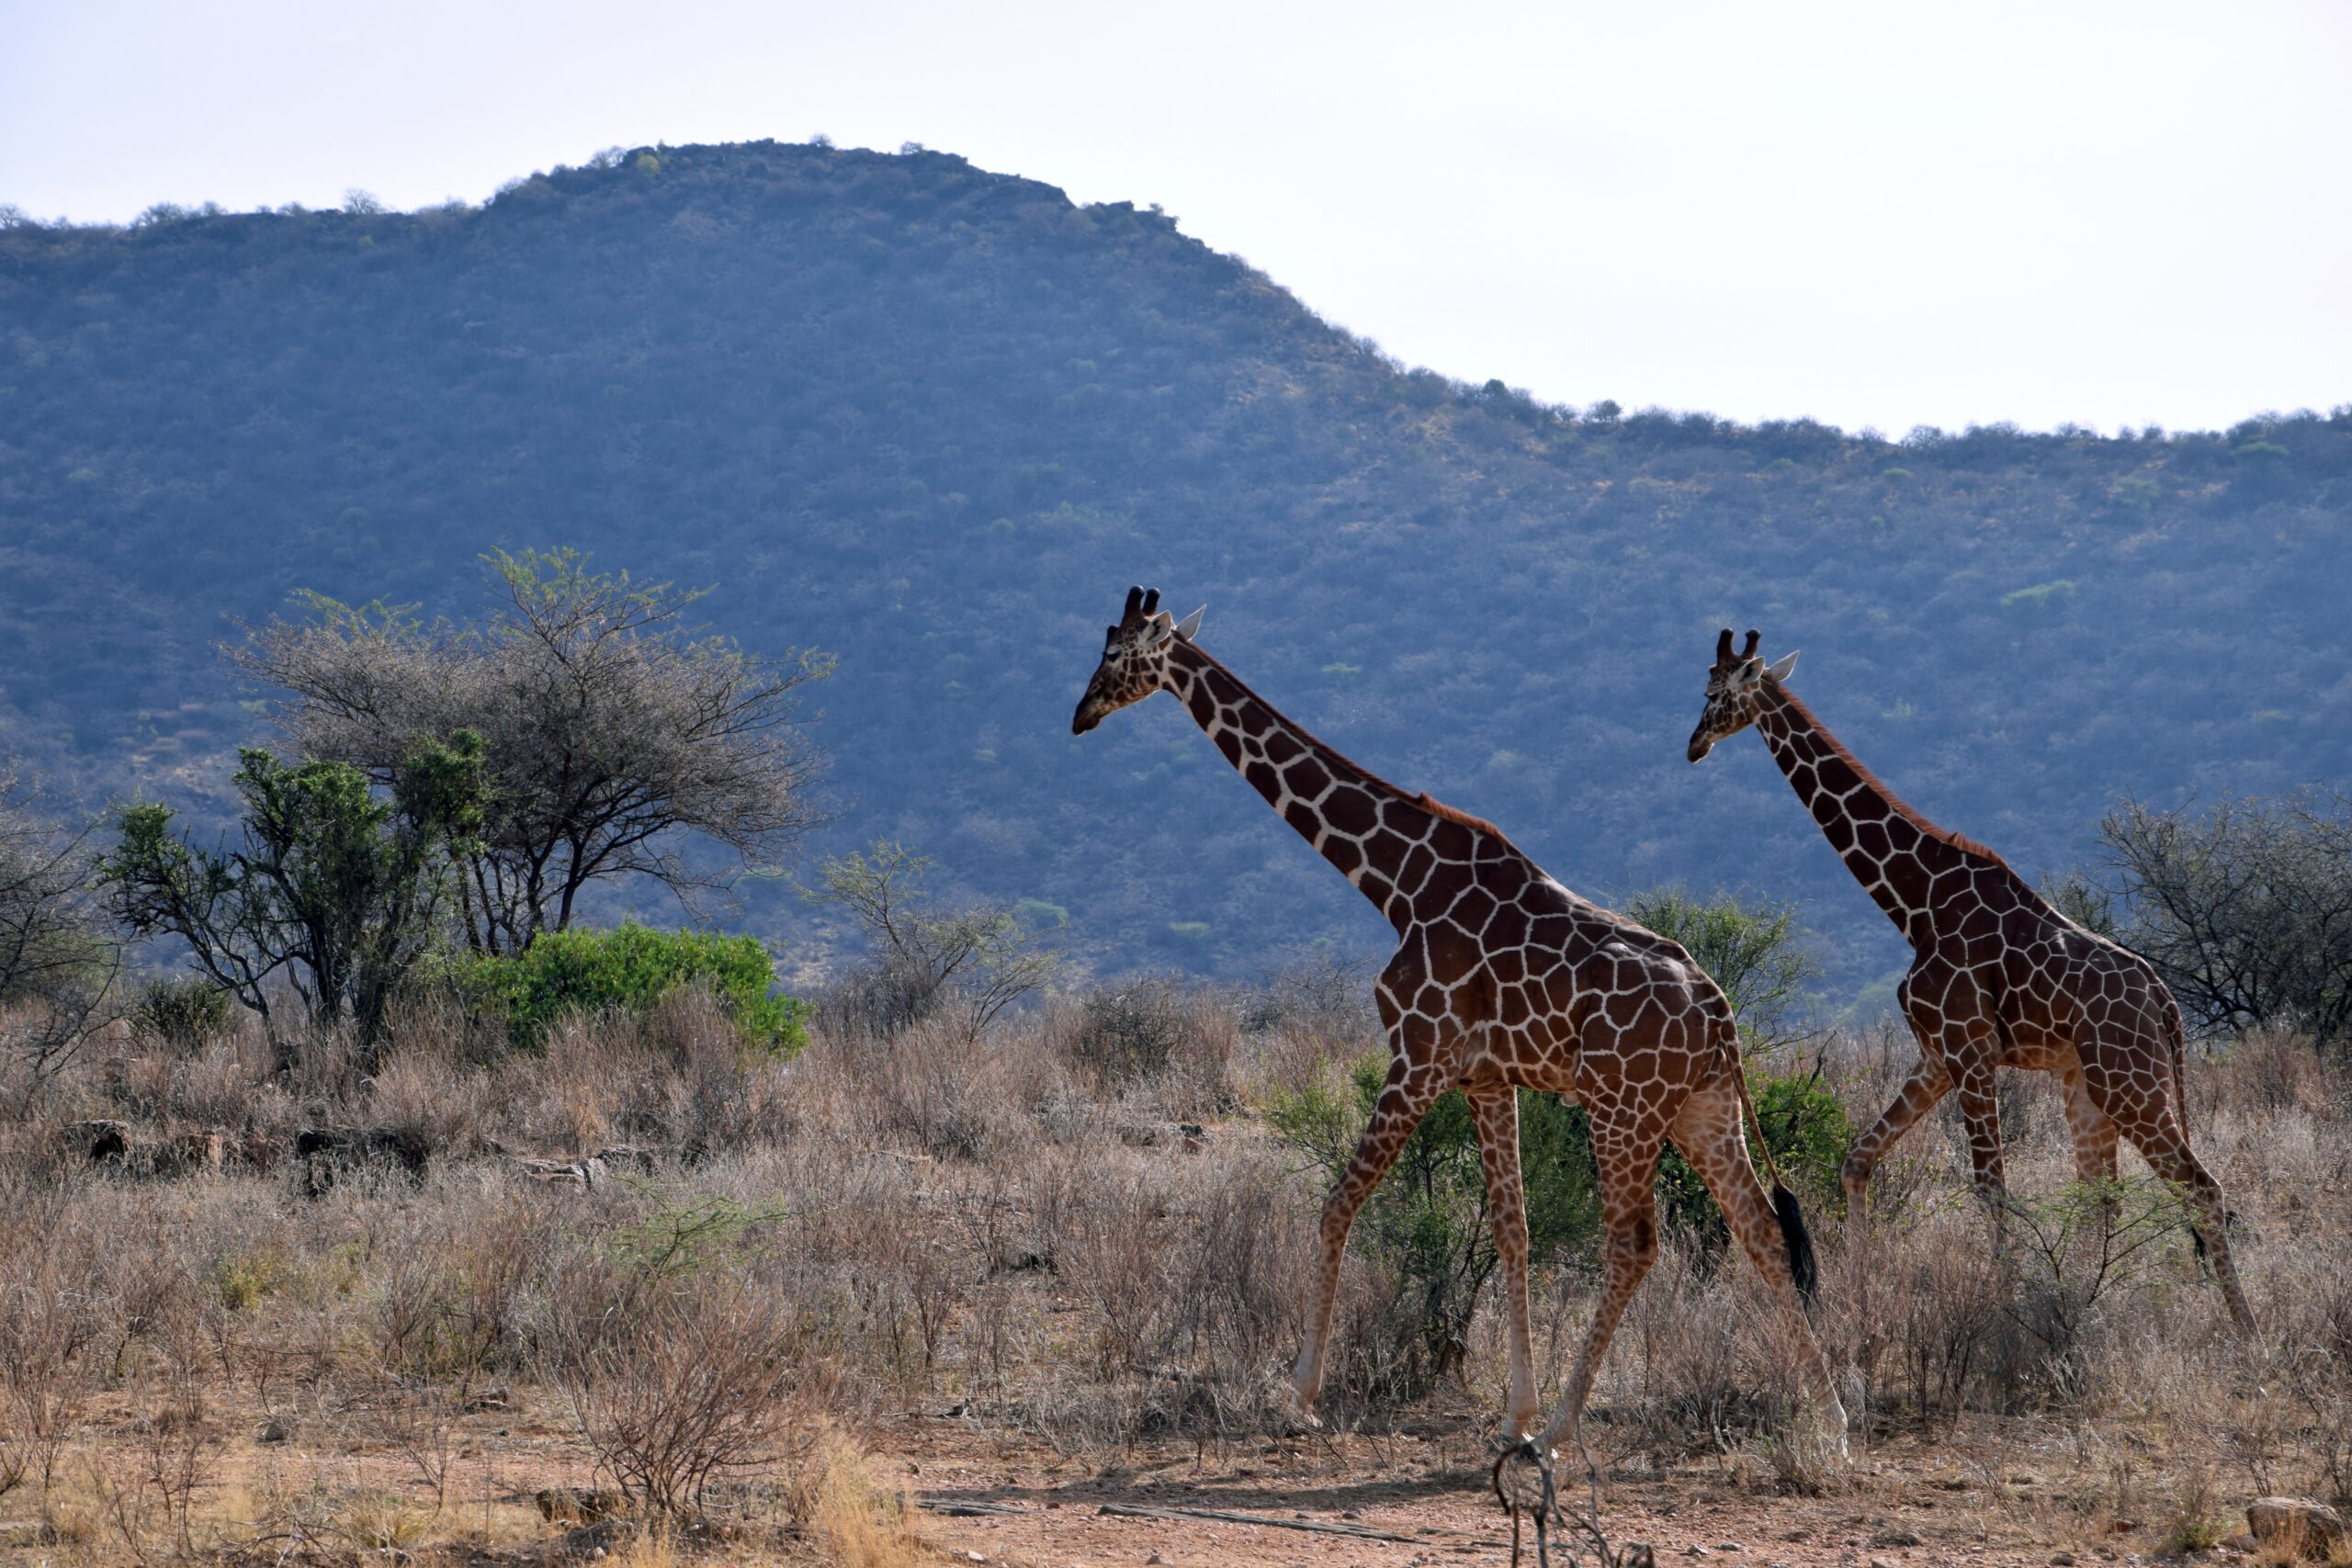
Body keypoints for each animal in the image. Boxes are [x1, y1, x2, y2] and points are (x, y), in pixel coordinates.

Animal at [1073, 587, 1850, 1455]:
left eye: (1115, 655)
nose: (1080, 714)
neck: (1397, 879)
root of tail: (1721, 1013)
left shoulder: (1419, 1054)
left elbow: (1338, 1202)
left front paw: (1300, 1393)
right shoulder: (1485, 1077)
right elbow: (1513, 1230)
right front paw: (1514, 1409)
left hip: (1624, 1108)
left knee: (1633, 1244)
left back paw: (1567, 1428)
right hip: (1702, 1109)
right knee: (1763, 1233)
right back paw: (1833, 1421)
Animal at [1685, 628, 2253, 1334]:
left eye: (1712, 694)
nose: (1694, 744)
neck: (1915, 904)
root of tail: (2168, 1005)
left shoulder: (1970, 1050)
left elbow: (1991, 1191)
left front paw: (2000, 1305)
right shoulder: (1937, 1055)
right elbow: (1857, 1160)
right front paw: (1860, 1296)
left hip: (2131, 1082)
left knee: (2200, 1188)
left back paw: (2246, 1331)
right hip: (2087, 1084)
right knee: (2102, 1195)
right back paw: (2090, 1301)